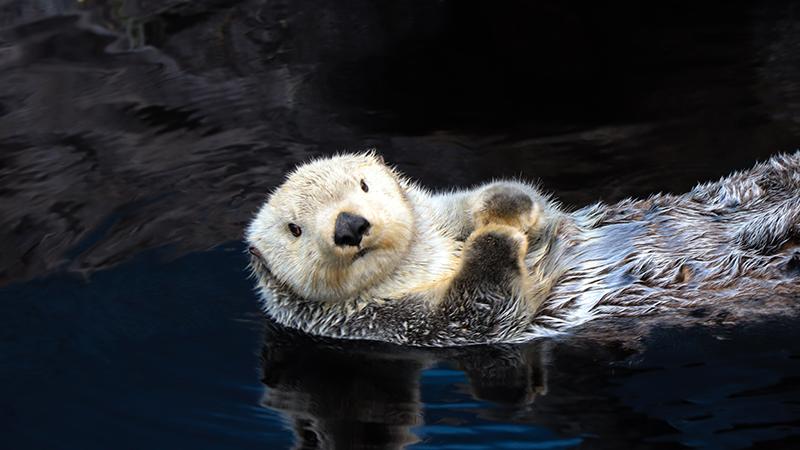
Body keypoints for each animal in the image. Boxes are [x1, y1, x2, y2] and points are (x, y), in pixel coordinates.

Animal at [246, 151, 800, 346]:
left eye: (363, 185)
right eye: (295, 229)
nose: (350, 225)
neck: (421, 262)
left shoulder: (444, 214)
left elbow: (528, 206)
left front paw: (503, 207)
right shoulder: (395, 325)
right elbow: (482, 309)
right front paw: (496, 239)